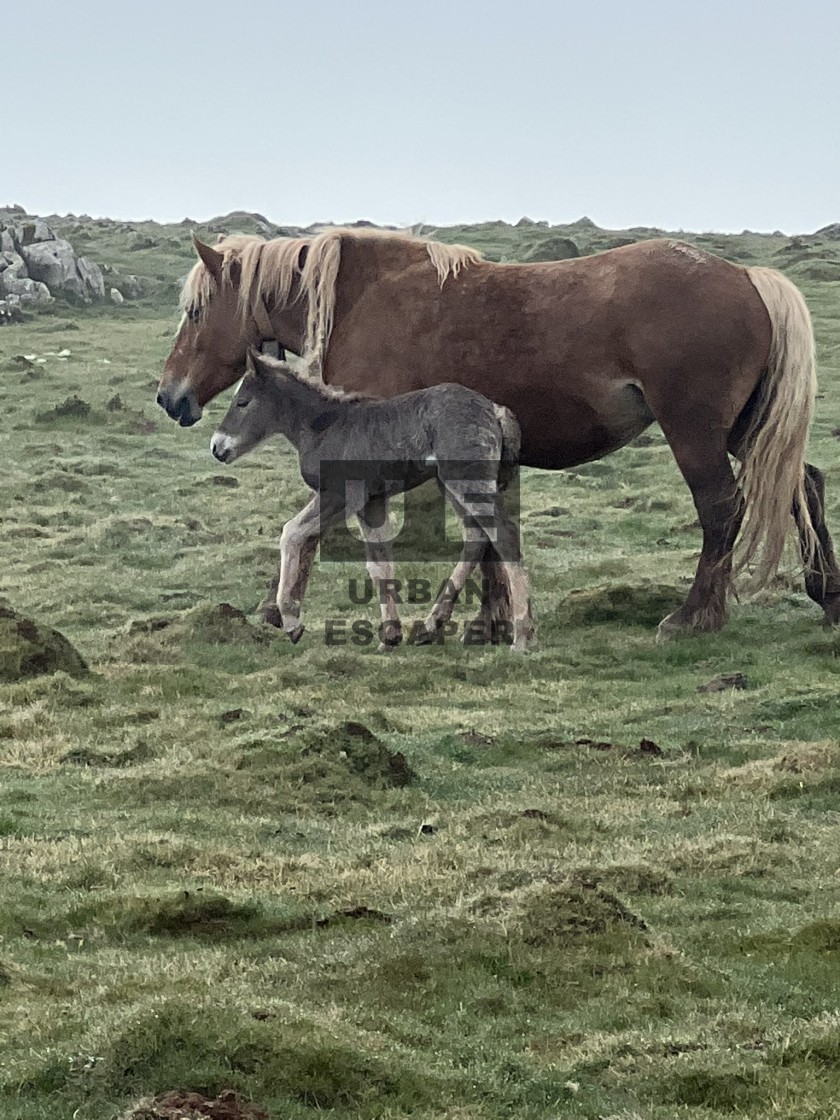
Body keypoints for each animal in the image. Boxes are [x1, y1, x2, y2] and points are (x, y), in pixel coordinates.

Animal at [157, 227, 840, 636]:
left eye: (195, 310)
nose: (170, 397)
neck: (364, 301)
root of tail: (748, 278)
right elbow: (485, 540)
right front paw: (491, 619)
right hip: (745, 429)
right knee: (802, 484)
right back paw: (826, 594)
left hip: (694, 431)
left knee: (722, 508)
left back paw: (695, 616)